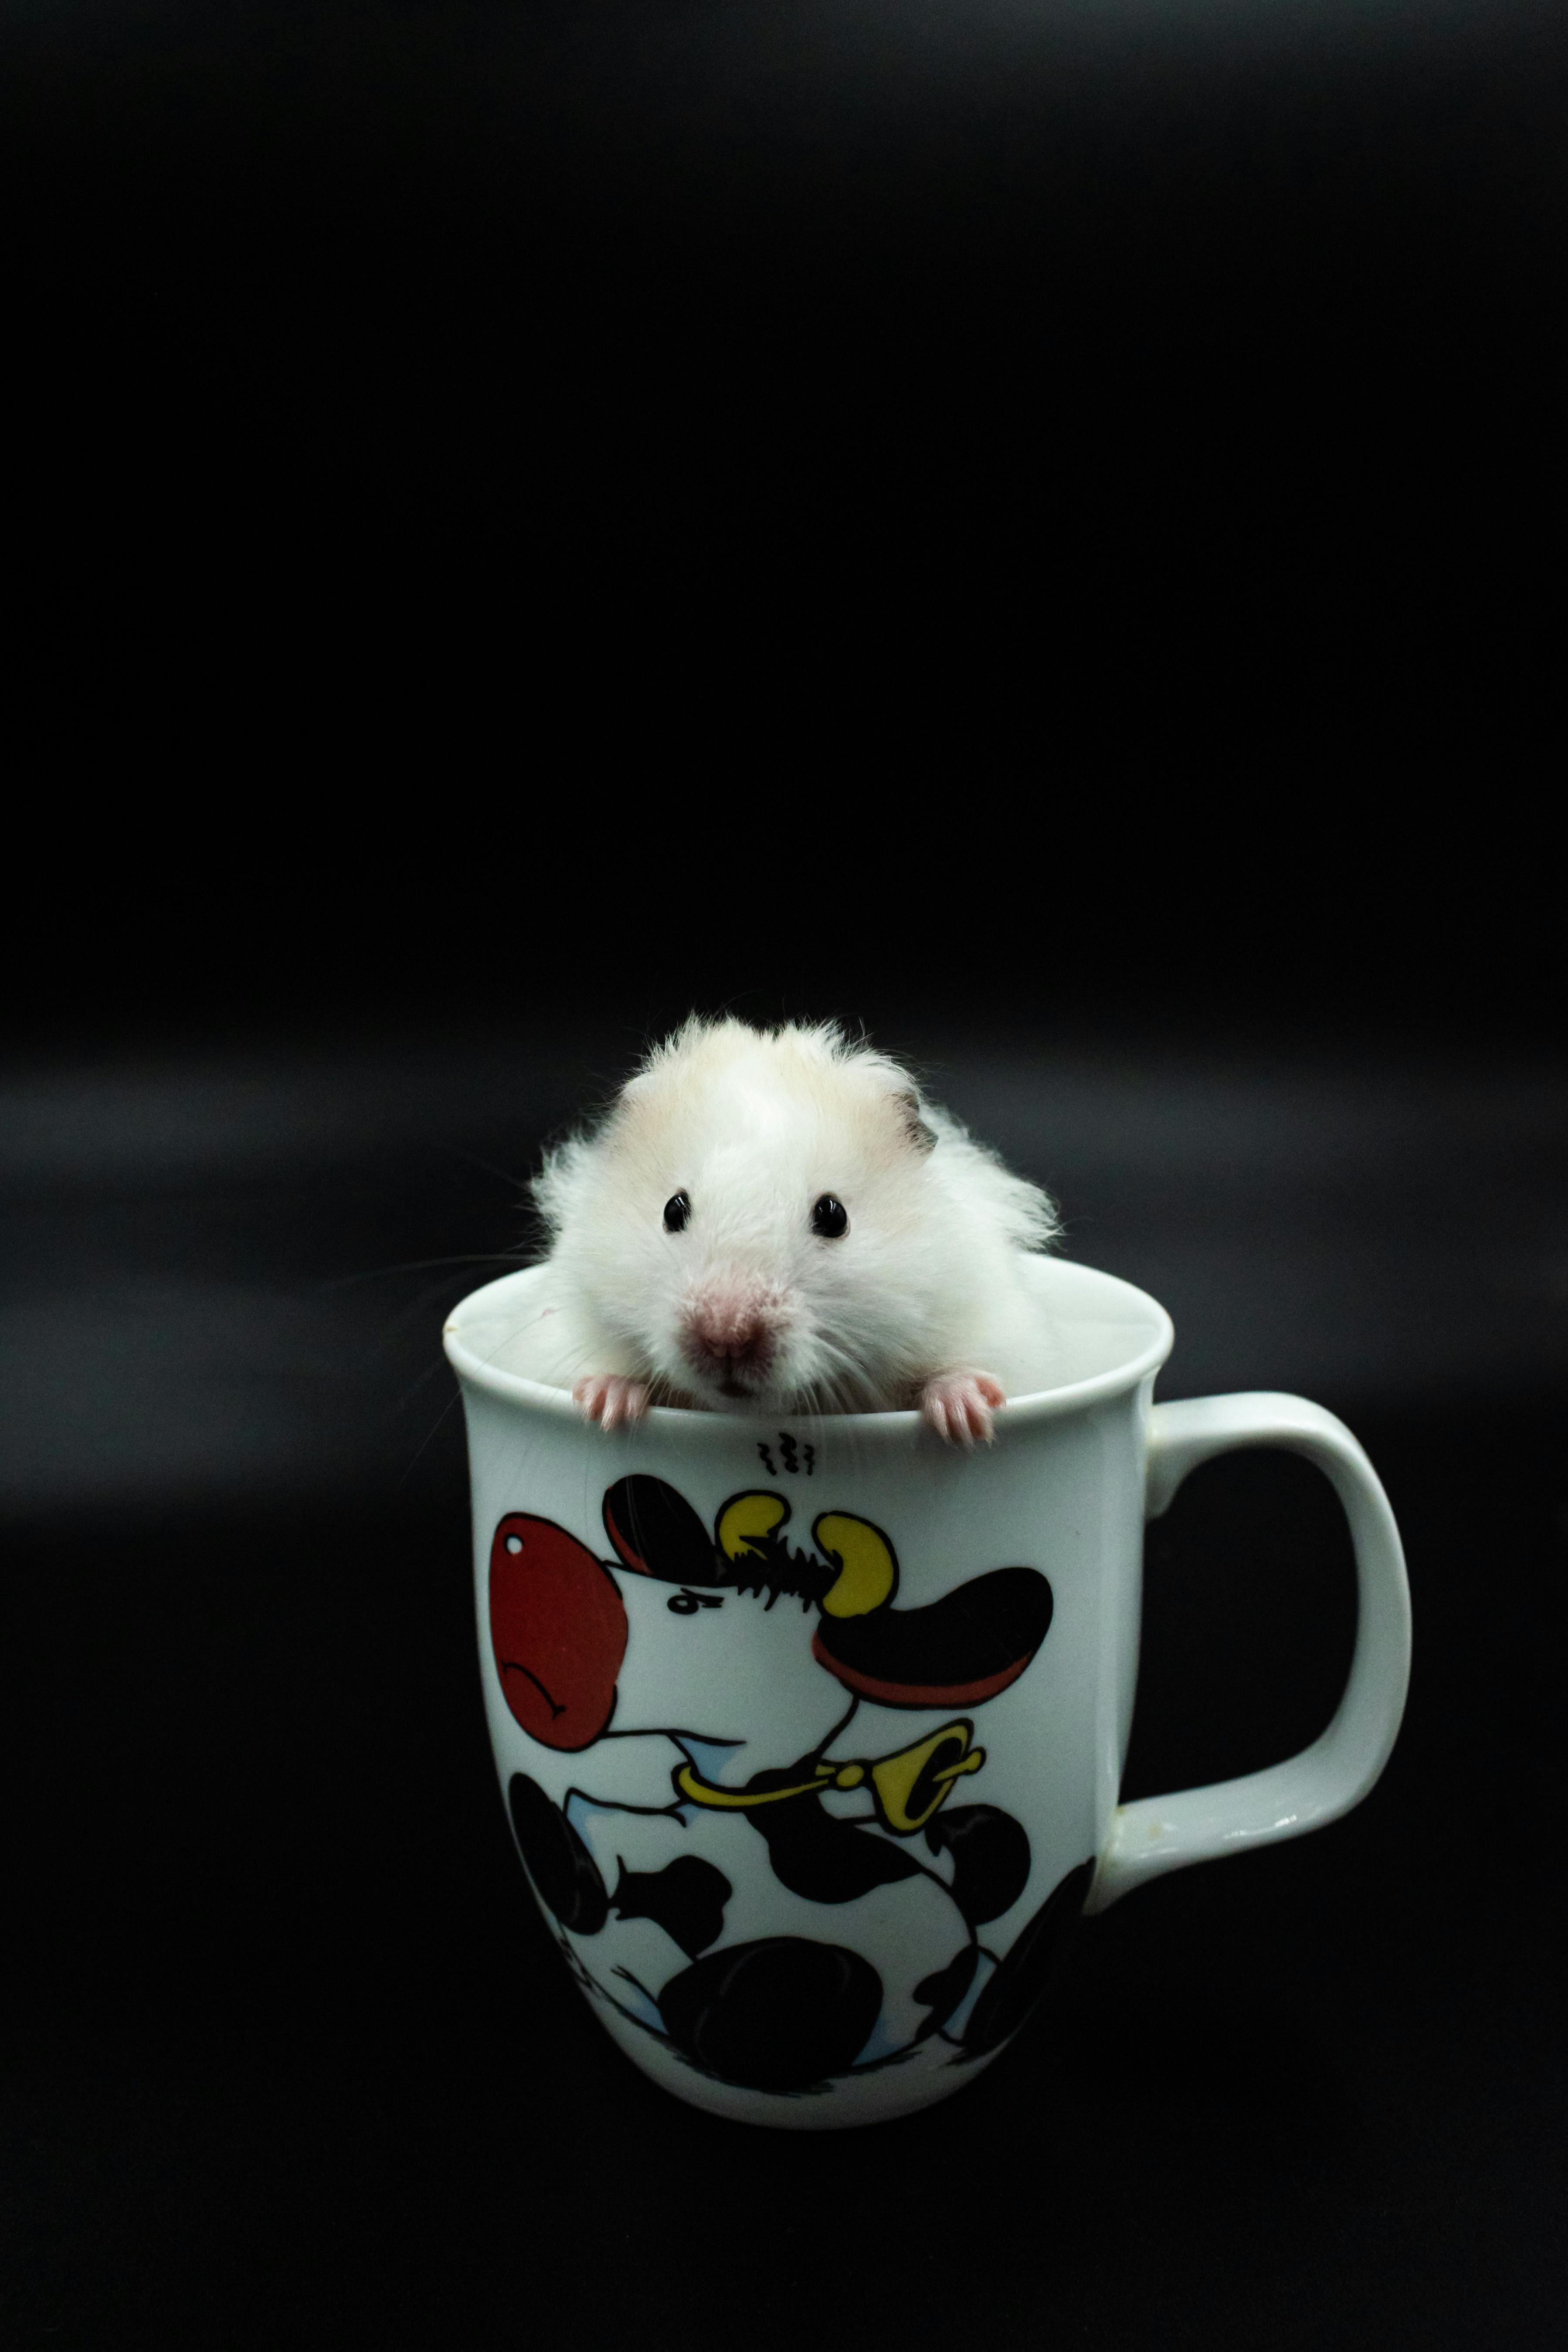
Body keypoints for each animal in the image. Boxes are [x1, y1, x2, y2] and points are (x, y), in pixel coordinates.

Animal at [510, 1016, 1059, 1444]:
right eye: (672, 1210)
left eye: (834, 1216)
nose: (726, 1337)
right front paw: (604, 1405)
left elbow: (957, 1370)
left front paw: (968, 1418)